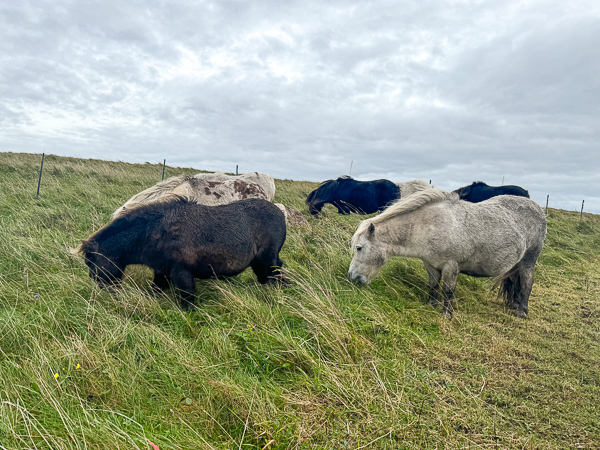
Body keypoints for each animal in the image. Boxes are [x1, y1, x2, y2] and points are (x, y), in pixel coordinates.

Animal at [75, 199, 286, 312]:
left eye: (90, 262)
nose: (101, 289)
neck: (156, 232)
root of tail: (281, 214)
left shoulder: (181, 273)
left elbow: (188, 299)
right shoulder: (162, 272)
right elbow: (156, 291)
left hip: (268, 261)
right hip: (260, 264)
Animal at [346, 188, 548, 318]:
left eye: (359, 247)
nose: (352, 277)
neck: (431, 226)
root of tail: (539, 209)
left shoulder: (451, 266)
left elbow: (448, 290)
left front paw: (446, 314)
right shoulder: (431, 264)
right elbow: (433, 285)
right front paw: (431, 305)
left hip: (528, 260)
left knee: (527, 282)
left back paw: (521, 311)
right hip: (515, 263)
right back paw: (514, 305)